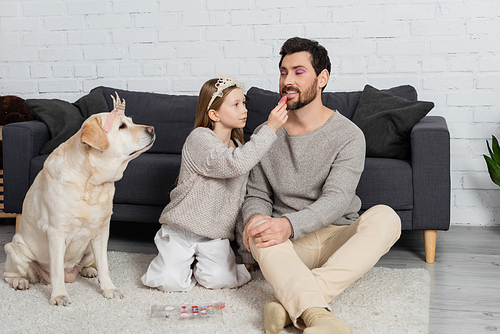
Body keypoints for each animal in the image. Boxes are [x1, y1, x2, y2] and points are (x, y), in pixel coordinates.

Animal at [2, 93, 154, 306]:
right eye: (122, 126)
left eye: (131, 122)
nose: (152, 129)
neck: (92, 183)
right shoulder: (56, 233)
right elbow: (57, 269)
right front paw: (59, 295)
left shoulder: (102, 232)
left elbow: (104, 265)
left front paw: (109, 289)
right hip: (14, 249)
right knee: (11, 273)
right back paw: (20, 281)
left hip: (88, 248)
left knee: (90, 264)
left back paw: (89, 270)